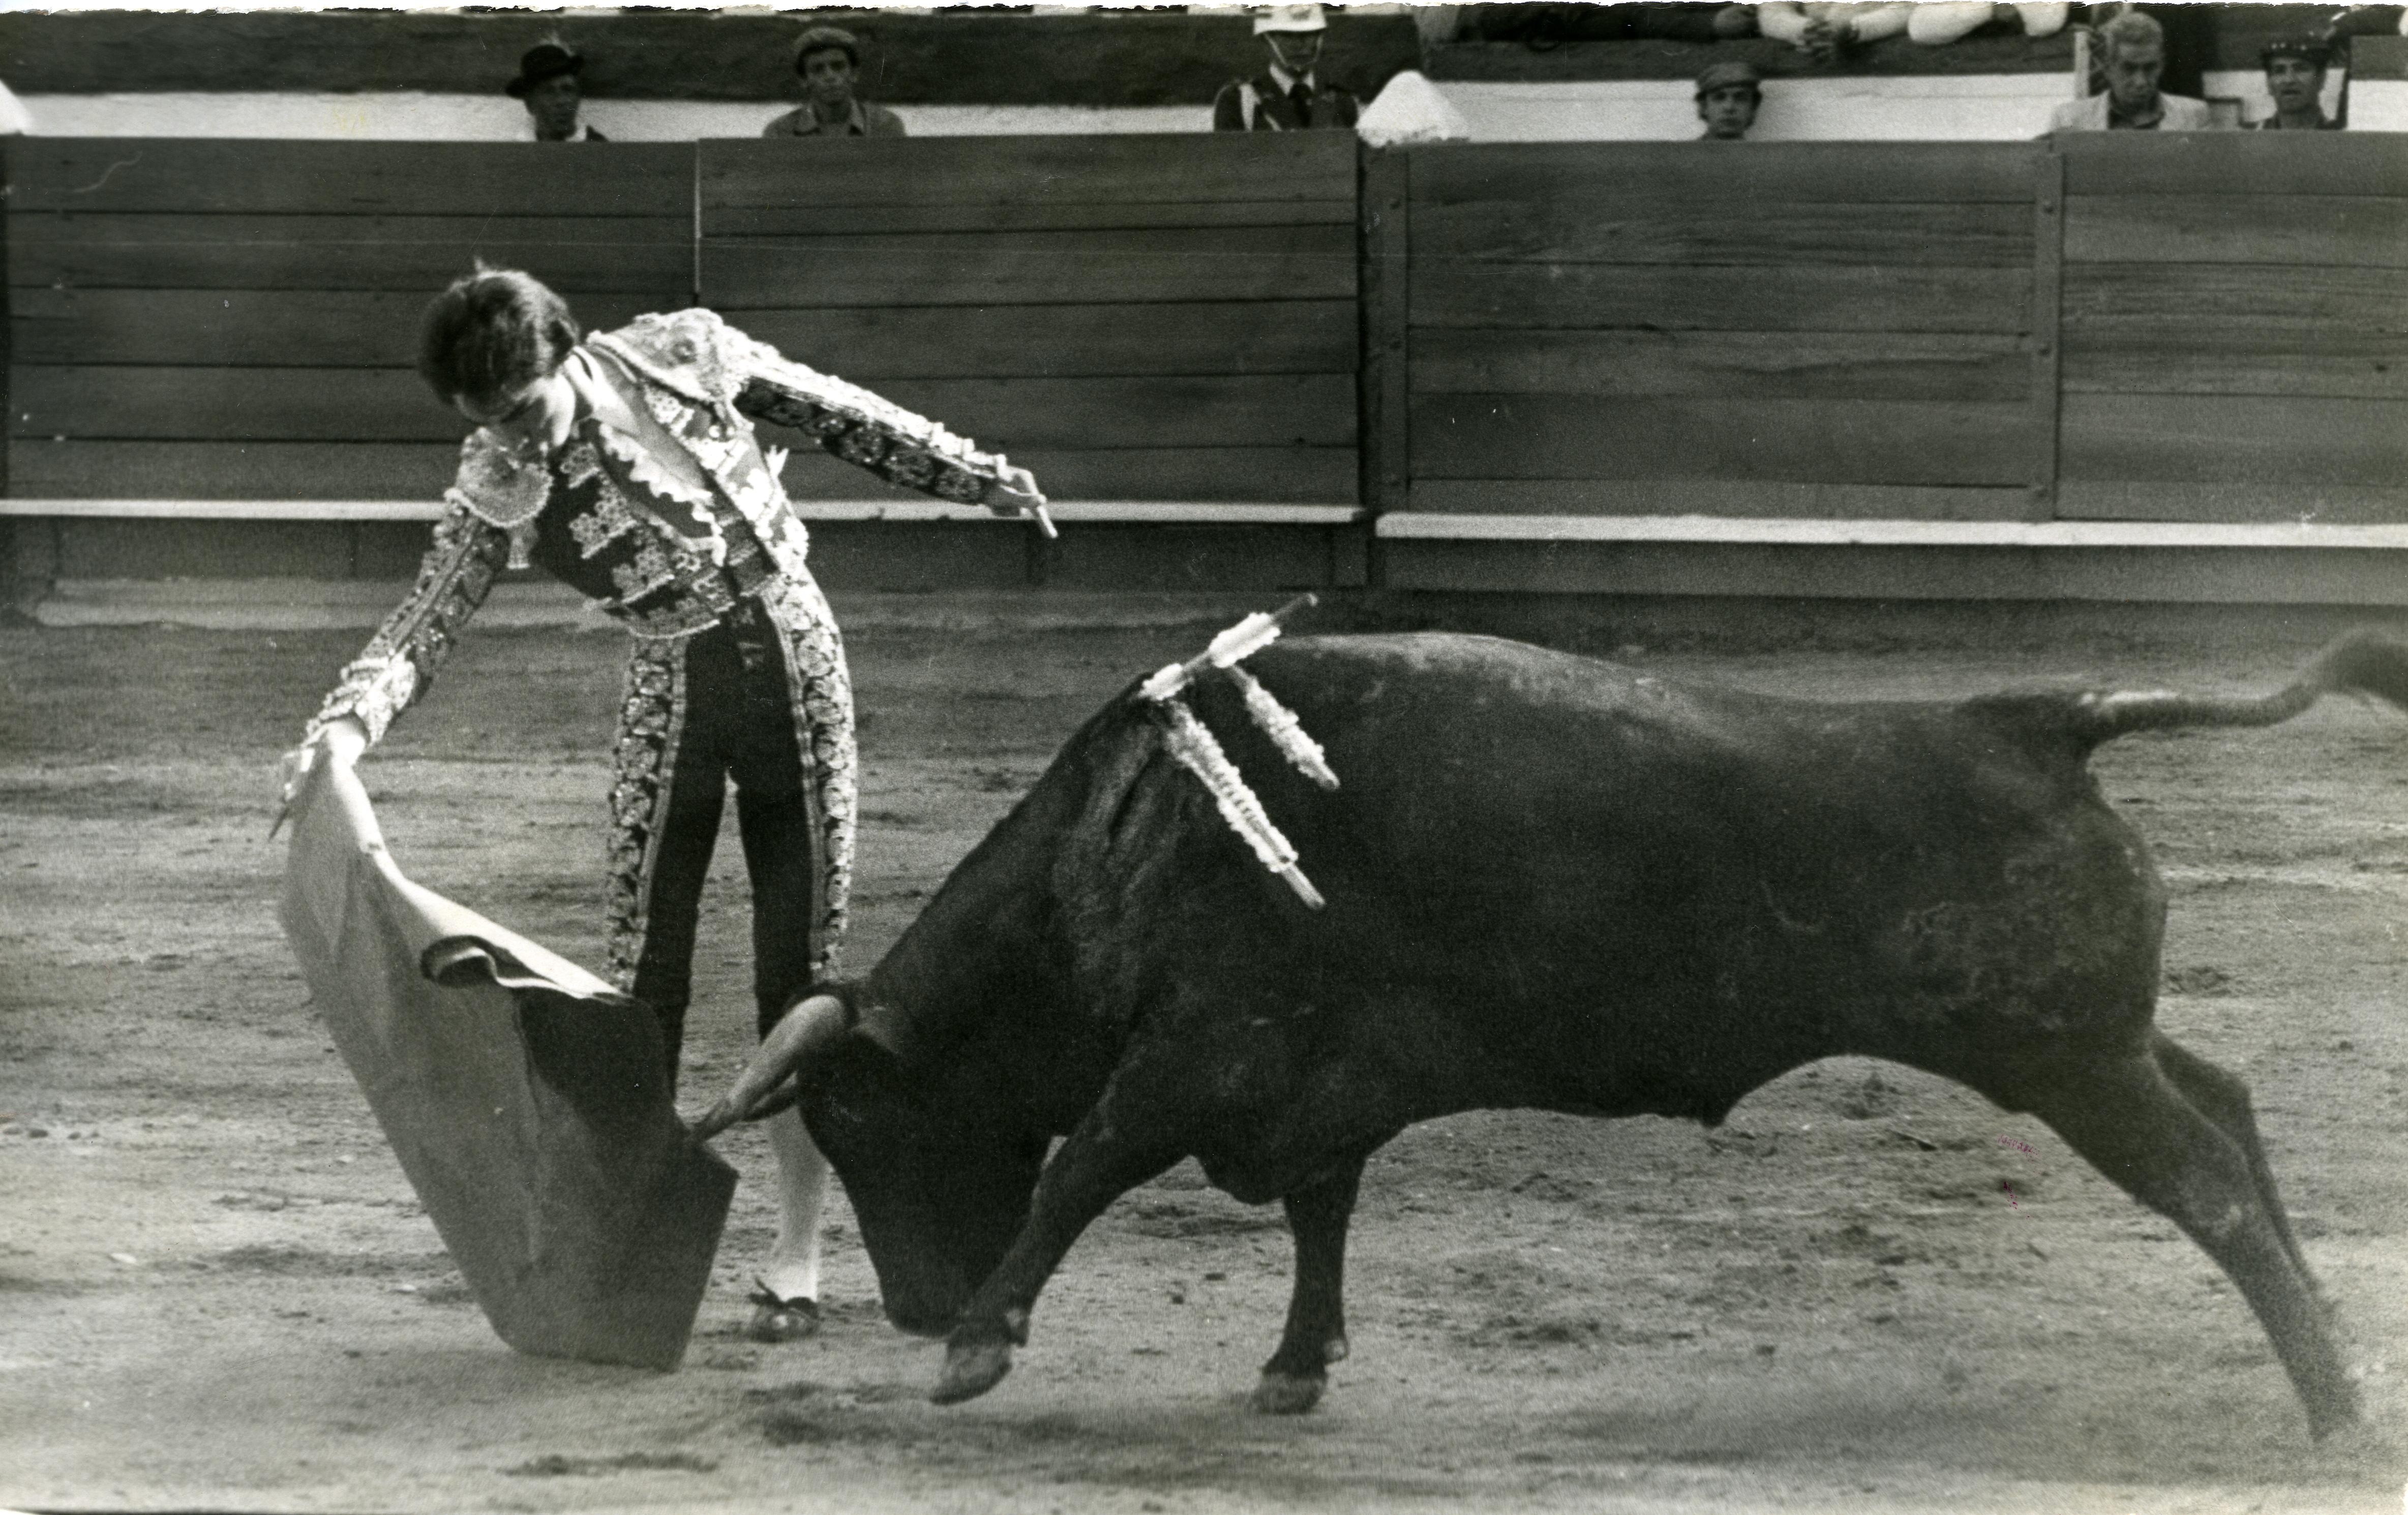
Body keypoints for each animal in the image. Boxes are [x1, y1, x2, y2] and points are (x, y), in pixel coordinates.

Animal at [693, 629, 2408, 1441]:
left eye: (857, 1125)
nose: (914, 1306)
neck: (1128, 835)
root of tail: (2048, 718)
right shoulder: (1315, 1085)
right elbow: (1318, 1216)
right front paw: (1293, 1368)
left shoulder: (1206, 1051)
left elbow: (1085, 1163)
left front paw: (983, 1345)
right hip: (2094, 1046)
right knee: (2231, 1103)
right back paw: (2339, 1355)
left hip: (2066, 1063)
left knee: (2209, 1182)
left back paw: (2329, 1404)